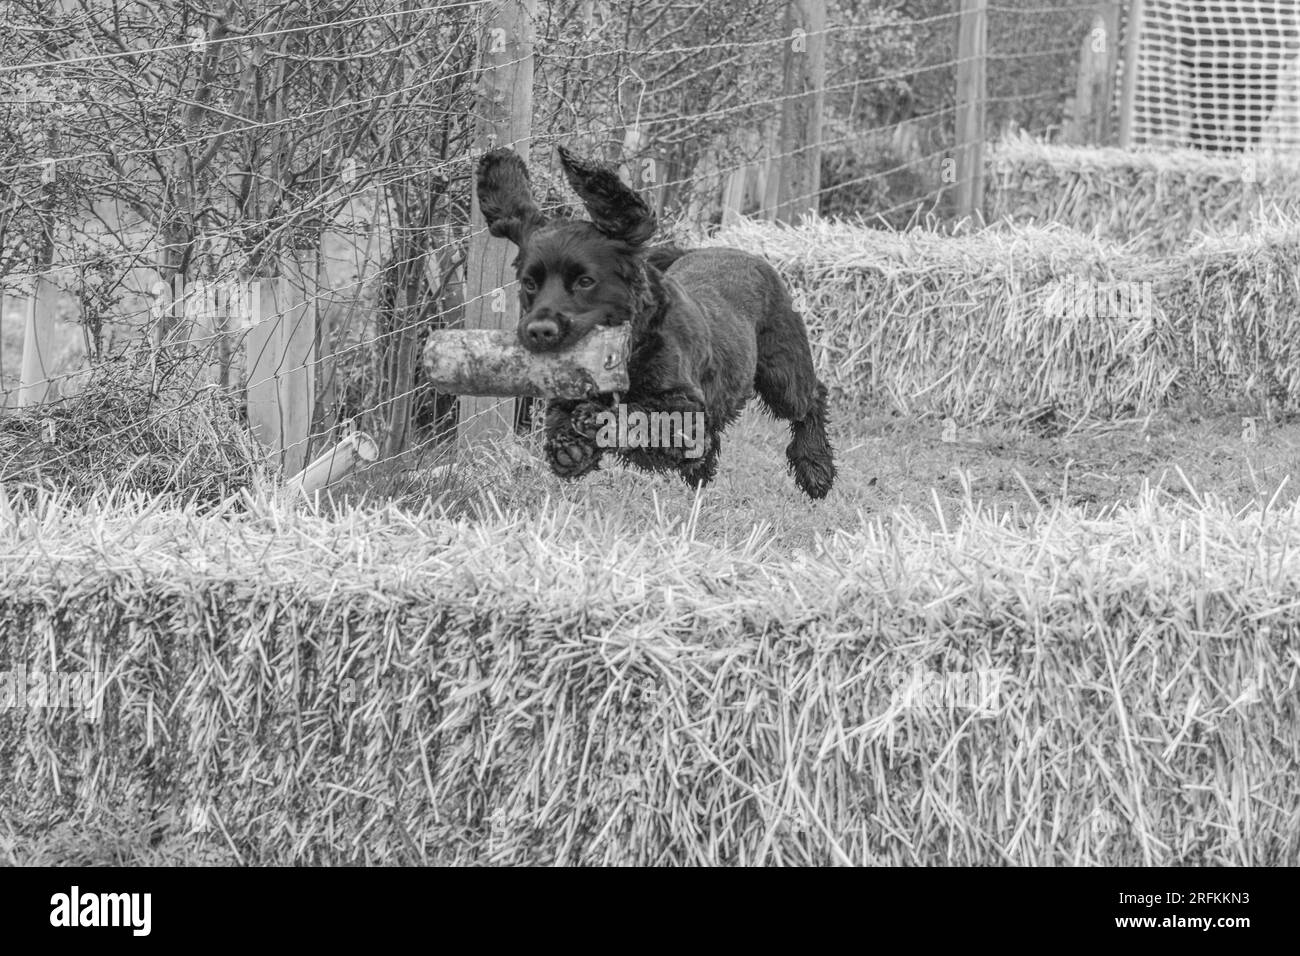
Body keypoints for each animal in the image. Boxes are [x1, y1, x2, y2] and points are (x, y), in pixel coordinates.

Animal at [475, 145, 832, 502]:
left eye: (586, 281)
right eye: (529, 283)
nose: (540, 332)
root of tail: (746, 253)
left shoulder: (685, 409)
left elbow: (639, 418)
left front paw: (595, 421)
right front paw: (571, 447)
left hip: (783, 373)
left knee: (812, 397)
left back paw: (815, 468)